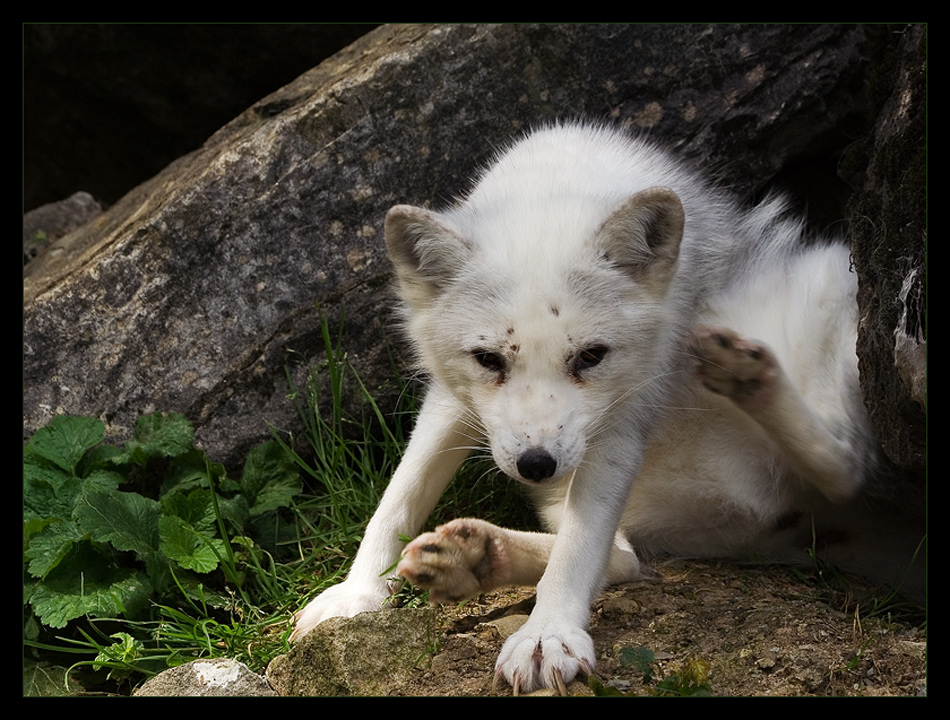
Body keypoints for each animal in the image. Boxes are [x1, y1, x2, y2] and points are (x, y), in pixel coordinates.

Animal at [292, 122, 884, 692]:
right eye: (488, 359)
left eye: (591, 356)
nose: (536, 464)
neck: (547, 195)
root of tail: (791, 521)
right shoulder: (450, 398)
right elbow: (400, 495)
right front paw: (358, 593)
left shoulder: (625, 413)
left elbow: (580, 545)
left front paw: (547, 635)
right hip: (588, 499)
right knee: (624, 558)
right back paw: (474, 557)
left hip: (829, 295)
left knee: (850, 467)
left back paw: (746, 373)